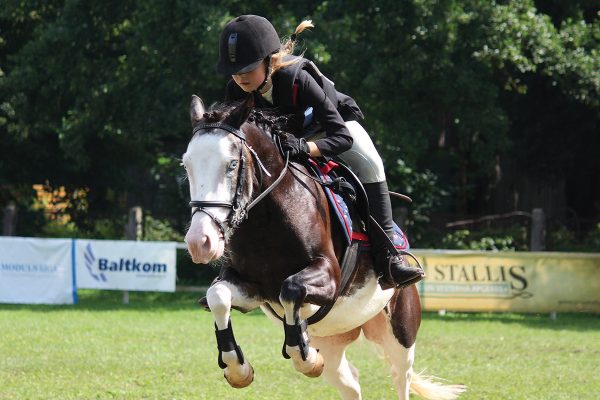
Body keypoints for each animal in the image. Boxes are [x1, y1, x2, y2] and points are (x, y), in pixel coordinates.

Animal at [185, 94, 466, 400]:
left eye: (232, 165)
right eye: (186, 166)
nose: (200, 242)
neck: (267, 220)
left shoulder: (329, 277)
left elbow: (291, 289)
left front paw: (304, 356)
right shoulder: (253, 289)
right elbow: (218, 296)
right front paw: (238, 369)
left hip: (400, 332)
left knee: (400, 376)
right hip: (332, 345)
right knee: (351, 383)